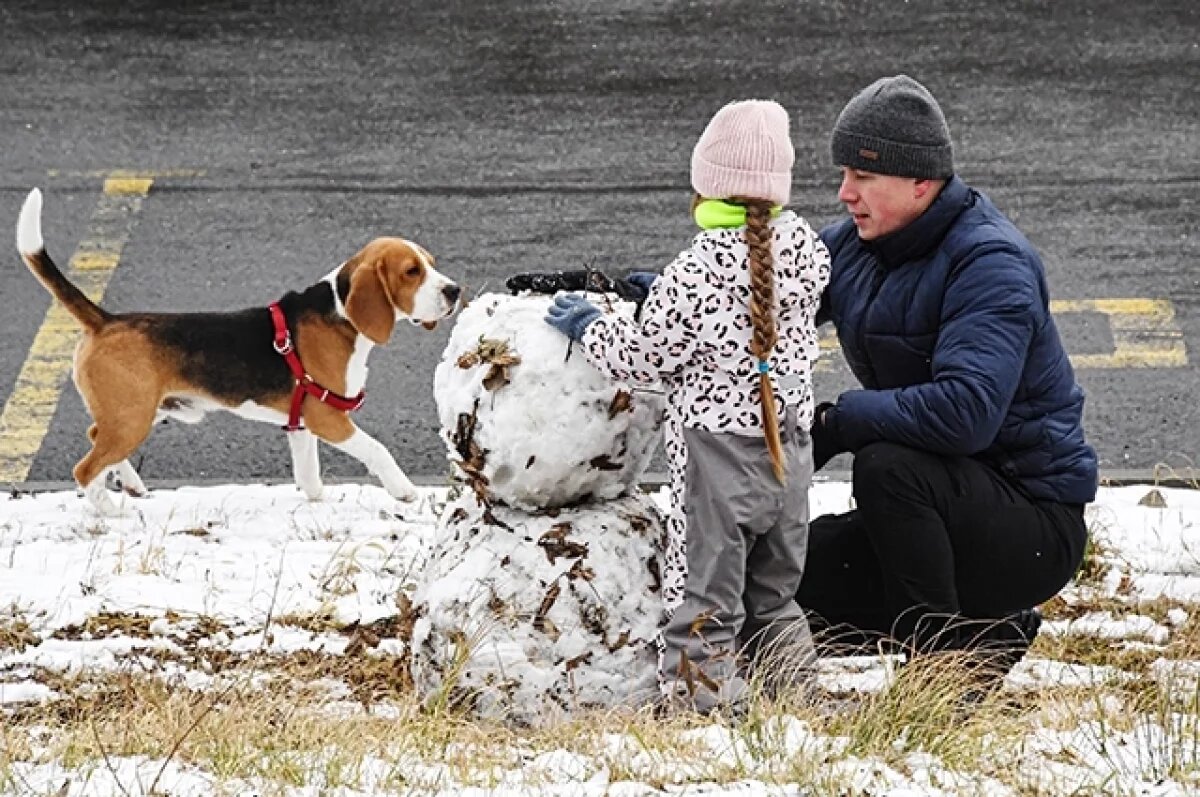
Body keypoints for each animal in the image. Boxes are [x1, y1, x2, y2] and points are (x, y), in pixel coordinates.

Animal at [14, 192, 458, 516]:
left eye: (431, 264)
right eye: (411, 271)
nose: (455, 291)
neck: (338, 312)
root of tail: (104, 320)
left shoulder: (301, 422)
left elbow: (310, 475)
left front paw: (318, 503)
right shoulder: (329, 418)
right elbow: (377, 449)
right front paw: (404, 491)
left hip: (137, 413)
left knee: (95, 439)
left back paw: (132, 485)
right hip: (132, 418)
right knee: (85, 468)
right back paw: (111, 511)